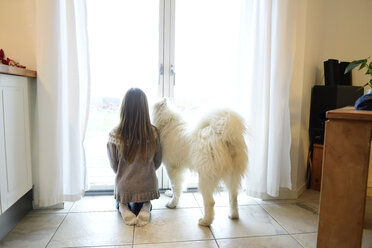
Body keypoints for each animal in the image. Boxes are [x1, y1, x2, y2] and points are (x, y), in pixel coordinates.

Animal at [153, 99, 248, 227]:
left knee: (210, 202)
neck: (168, 125)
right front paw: (170, 194)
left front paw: (172, 203)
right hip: (233, 175)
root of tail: (224, 137)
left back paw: (205, 221)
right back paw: (233, 215)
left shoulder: (172, 168)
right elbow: (179, 186)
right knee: (233, 197)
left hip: (205, 178)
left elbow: (175, 186)